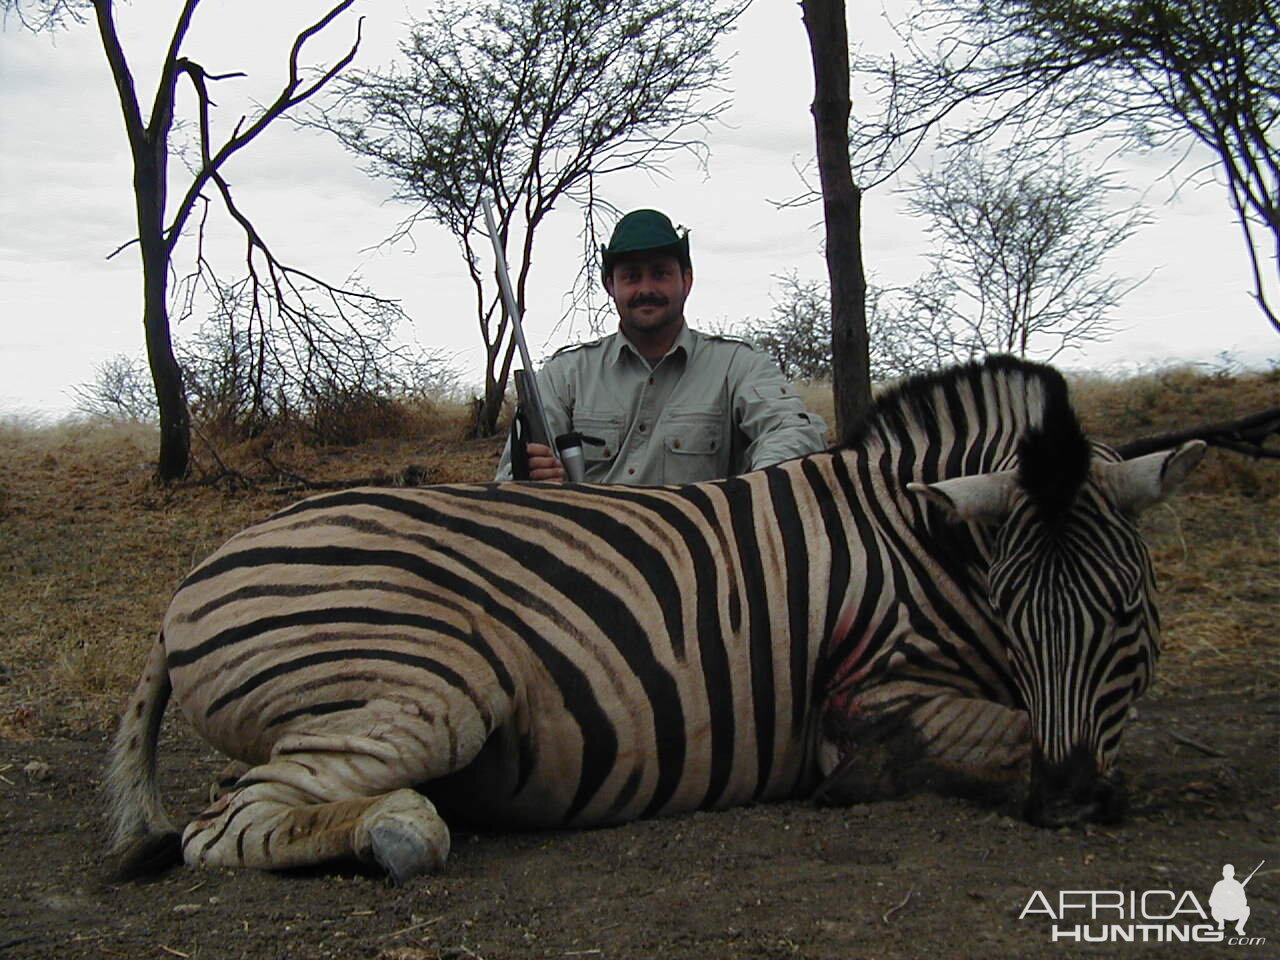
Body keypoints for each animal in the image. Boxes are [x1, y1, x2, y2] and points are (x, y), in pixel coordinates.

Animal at [104, 358, 1203, 885]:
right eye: (1015, 613)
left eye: (1126, 612)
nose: (1067, 803)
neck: (919, 540)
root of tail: (189, 585)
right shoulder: (868, 692)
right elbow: (1001, 729)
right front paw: (865, 782)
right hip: (439, 686)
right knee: (227, 824)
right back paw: (399, 832)